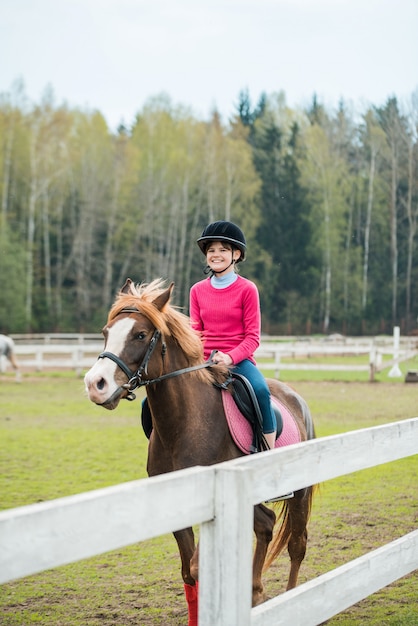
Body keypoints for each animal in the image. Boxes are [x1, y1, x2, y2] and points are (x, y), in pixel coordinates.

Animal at [84, 280, 314, 624]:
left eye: (140, 334)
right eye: (105, 331)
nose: (95, 384)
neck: (185, 423)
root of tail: (295, 398)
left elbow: (196, 566)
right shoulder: (179, 504)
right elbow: (187, 574)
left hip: (300, 491)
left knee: (297, 545)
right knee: (265, 524)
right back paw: (255, 593)